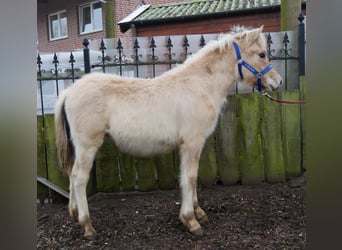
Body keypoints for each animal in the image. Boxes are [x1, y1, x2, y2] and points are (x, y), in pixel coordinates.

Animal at [54, 25, 284, 238]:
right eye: (261, 54)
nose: (278, 82)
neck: (200, 85)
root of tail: (69, 92)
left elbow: (192, 177)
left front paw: (199, 212)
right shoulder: (192, 143)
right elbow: (189, 178)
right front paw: (191, 221)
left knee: (72, 175)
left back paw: (74, 214)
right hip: (87, 146)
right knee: (79, 177)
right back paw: (87, 225)